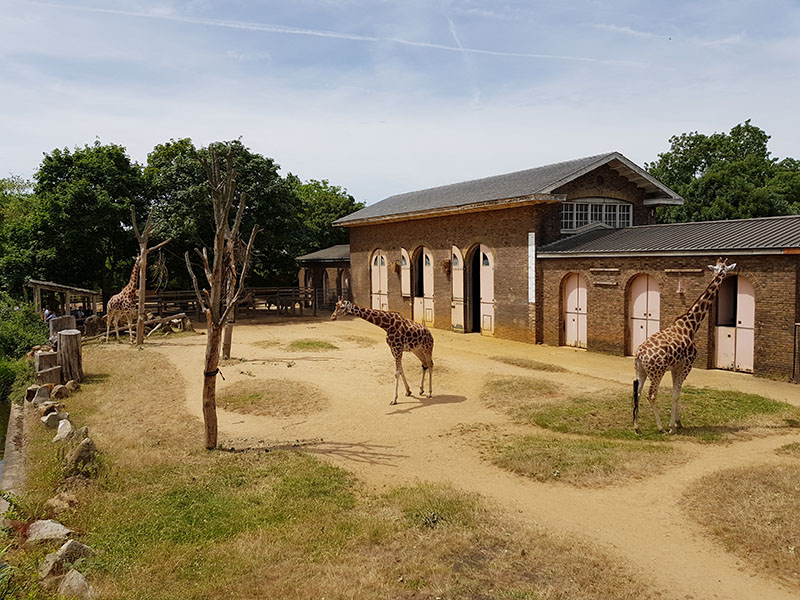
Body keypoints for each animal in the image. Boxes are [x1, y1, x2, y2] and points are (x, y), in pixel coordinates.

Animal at [632, 258, 736, 434]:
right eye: (722, 270)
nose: (721, 276)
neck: (690, 326)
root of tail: (640, 354)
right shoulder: (687, 365)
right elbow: (676, 394)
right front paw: (671, 426)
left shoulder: (676, 367)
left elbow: (676, 392)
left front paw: (678, 422)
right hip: (657, 372)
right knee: (651, 395)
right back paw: (660, 427)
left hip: (641, 371)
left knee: (637, 394)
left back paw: (636, 426)